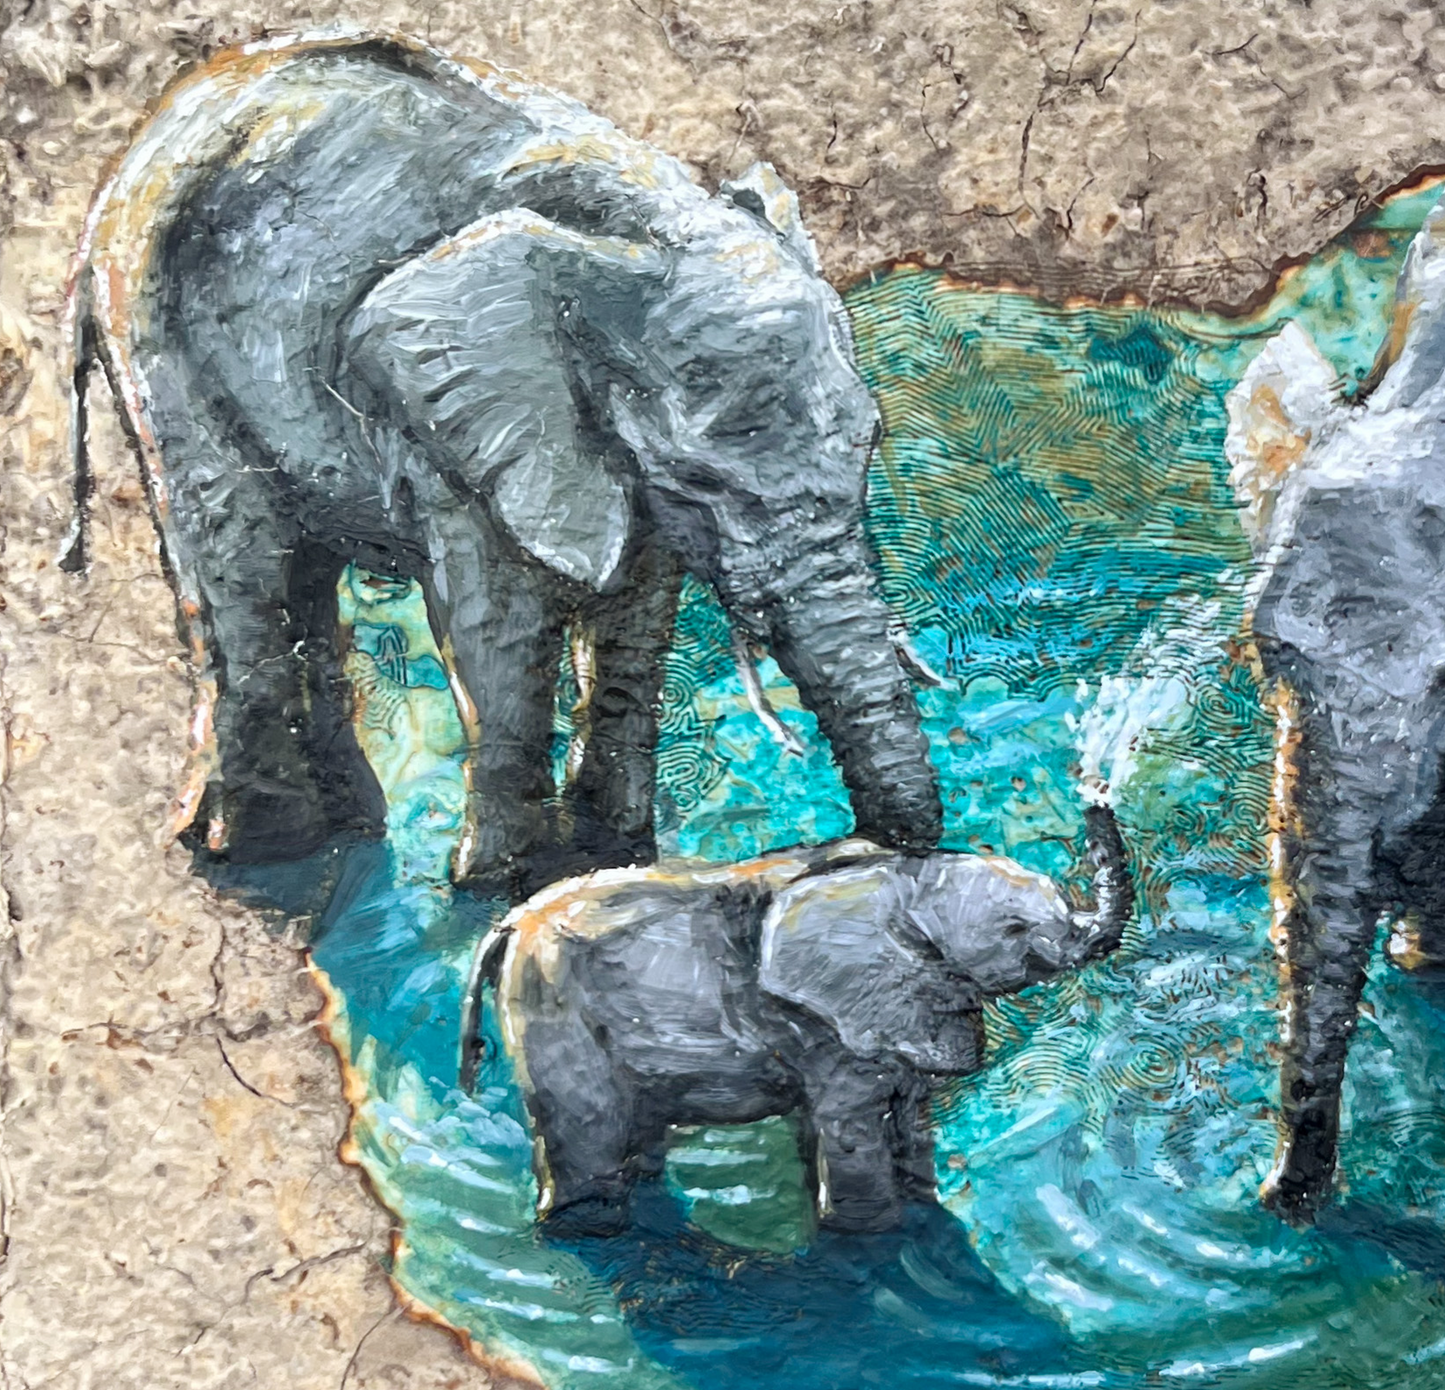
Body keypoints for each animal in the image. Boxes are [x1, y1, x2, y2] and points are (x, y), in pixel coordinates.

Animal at [63, 29, 944, 894]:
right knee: (240, 565)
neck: (638, 227)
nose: (859, 844)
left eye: (869, 444)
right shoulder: (467, 428)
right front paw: (496, 884)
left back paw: (345, 828)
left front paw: (610, 851)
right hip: (155, 338)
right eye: (699, 479)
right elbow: (498, 626)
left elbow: (636, 618)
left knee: (300, 575)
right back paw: (261, 850)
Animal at [458, 804, 1132, 1235]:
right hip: (550, 1004)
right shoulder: (831, 1025)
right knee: (587, 1131)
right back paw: (587, 1230)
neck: (900, 875)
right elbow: (852, 1129)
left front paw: (921, 1205)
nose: (1095, 790)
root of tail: (506, 925)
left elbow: (911, 1120)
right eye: (1015, 931)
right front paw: (872, 1240)